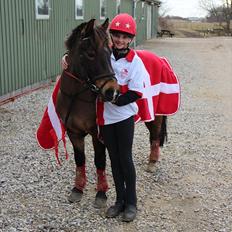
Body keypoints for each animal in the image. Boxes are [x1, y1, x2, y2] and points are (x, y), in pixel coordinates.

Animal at [55, 18, 168, 207]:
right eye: (91, 53)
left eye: (109, 53)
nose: (111, 92)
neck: (76, 97)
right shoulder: (73, 133)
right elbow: (80, 159)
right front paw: (77, 189)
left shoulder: (98, 133)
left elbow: (99, 160)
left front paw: (101, 193)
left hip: (155, 115)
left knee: (155, 135)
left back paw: (152, 162)